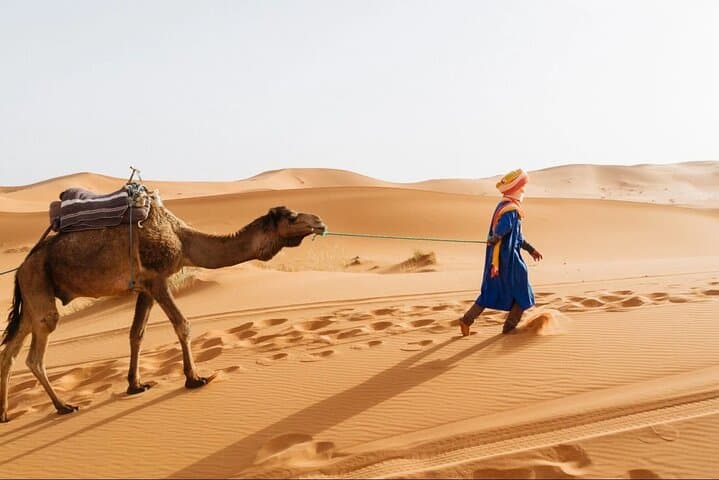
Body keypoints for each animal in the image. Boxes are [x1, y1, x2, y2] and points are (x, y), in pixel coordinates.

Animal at [0, 197, 326, 422]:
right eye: (292, 217)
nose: (320, 221)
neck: (183, 240)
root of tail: (21, 269)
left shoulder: (144, 288)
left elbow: (136, 334)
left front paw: (135, 385)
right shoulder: (157, 279)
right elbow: (183, 324)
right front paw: (195, 379)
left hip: (32, 297)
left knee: (10, 352)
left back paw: (5, 414)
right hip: (39, 287)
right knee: (34, 354)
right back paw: (63, 406)